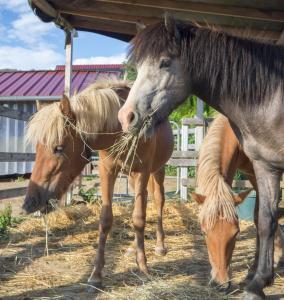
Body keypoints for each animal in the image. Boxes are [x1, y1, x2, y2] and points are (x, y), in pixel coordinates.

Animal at [22, 79, 173, 288]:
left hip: (157, 171)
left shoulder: (142, 171)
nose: (30, 203)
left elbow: (139, 218)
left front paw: (143, 268)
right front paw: (96, 273)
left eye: (59, 148)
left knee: (158, 201)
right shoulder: (107, 171)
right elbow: (107, 219)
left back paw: (160, 245)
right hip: (133, 179)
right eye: (37, 148)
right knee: (141, 204)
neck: (121, 131)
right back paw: (133, 248)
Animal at [191, 114, 284, 290]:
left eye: (236, 233)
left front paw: (257, 271)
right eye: (204, 233)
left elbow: (262, 218)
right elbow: (260, 217)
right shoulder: (254, 175)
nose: (221, 284)